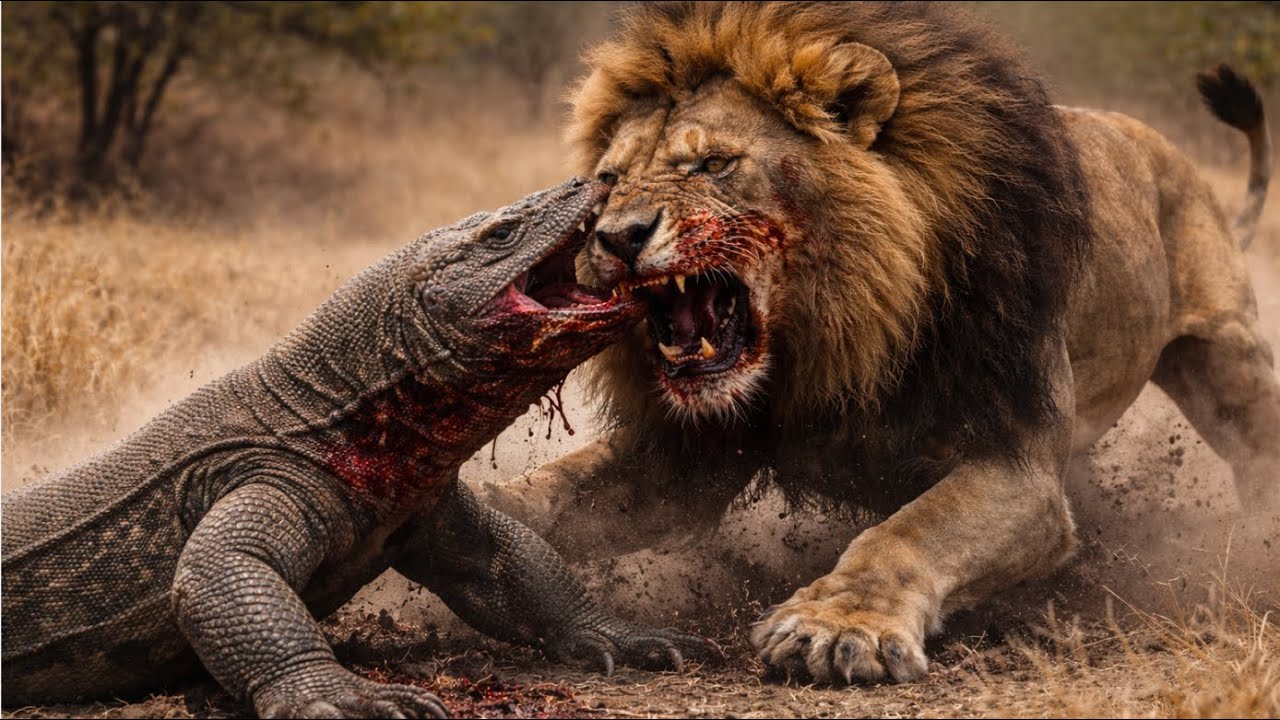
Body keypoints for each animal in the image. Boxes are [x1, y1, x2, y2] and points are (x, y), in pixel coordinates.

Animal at [480, 1, 1279, 684]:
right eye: (606, 181)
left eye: (713, 165)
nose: (616, 237)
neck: (832, 337)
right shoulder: (687, 460)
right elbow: (549, 496)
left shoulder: (1016, 464)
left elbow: (911, 532)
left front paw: (835, 626)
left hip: (1229, 363)